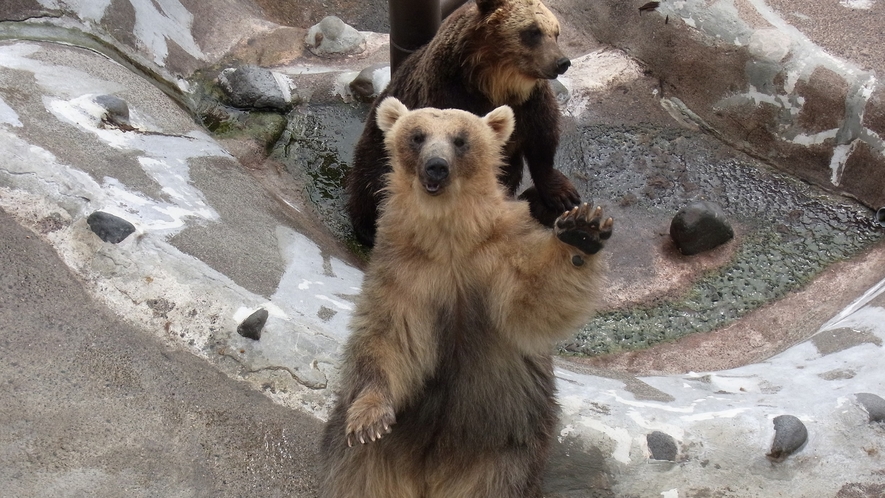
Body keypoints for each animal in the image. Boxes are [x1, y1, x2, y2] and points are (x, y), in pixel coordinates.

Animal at [320, 97, 616, 498]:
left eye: (461, 140)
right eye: (417, 135)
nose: (436, 166)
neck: (448, 237)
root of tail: (428, 472)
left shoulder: (495, 259)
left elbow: (533, 300)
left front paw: (582, 230)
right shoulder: (403, 270)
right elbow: (388, 334)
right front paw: (369, 417)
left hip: (503, 449)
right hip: (381, 456)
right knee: (357, 477)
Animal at [346, 0, 580, 245]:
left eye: (555, 33)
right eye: (533, 31)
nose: (561, 62)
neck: (495, 83)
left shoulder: (530, 104)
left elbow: (543, 138)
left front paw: (562, 195)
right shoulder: (449, 92)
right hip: (374, 153)